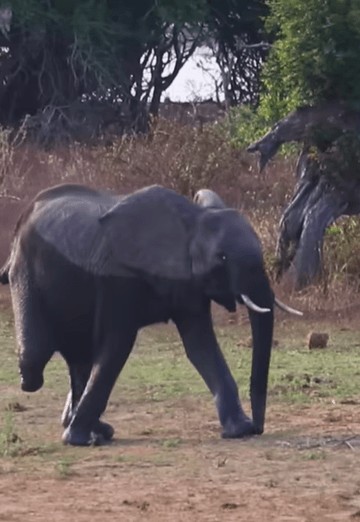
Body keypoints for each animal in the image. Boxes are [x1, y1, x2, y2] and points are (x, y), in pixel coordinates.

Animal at [1, 182, 302, 442]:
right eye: (223, 258)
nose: (258, 428)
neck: (191, 221)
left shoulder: (189, 283)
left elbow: (200, 346)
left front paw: (239, 431)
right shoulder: (117, 278)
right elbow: (117, 346)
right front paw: (77, 441)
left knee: (80, 359)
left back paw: (97, 429)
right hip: (26, 270)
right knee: (35, 360)